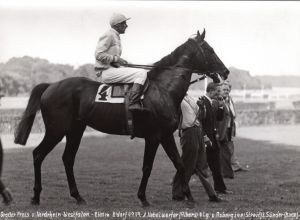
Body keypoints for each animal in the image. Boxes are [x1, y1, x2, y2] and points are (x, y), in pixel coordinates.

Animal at [14, 30, 227, 207]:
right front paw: (143, 198)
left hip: (75, 130)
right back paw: (36, 196)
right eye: (210, 50)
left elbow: (180, 164)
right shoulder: (154, 137)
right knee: (38, 154)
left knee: (67, 158)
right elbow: (147, 167)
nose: (225, 72)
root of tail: (51, 86)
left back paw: (77, 196)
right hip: (56, 130)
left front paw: (189, 197)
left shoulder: (166, 135)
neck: (162, 90)